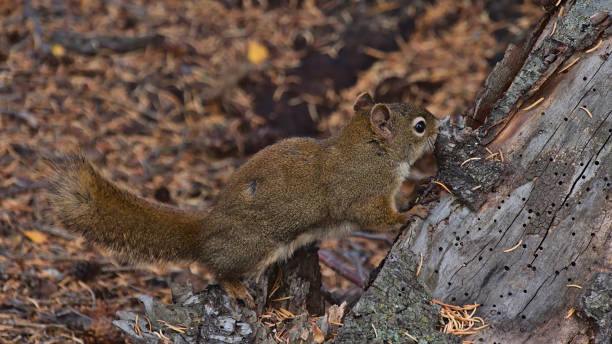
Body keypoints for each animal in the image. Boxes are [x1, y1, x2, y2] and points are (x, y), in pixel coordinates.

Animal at [47, 92, 440, 308]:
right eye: (420, 126)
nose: (441, 124)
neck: (370, 149)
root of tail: (205, 229)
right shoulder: (363, 192)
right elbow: (375, 217)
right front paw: (409, 213)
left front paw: (421, 187)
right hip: (252, 248)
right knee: (216, 269)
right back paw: (234, 286)